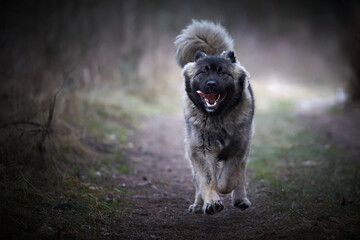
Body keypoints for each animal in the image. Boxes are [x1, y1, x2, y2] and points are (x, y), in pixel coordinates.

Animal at [175, 20, 256, 215]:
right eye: (203, 72)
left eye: (222, 72)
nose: (211, 84)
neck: (218, 118)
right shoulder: (201, 149)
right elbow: (206, 179)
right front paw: (212, 202)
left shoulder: (237, 148)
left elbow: (229, 178)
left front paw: (223, 188)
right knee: (197, 182)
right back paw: (198, 204)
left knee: (241, 174)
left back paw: (241, 199)